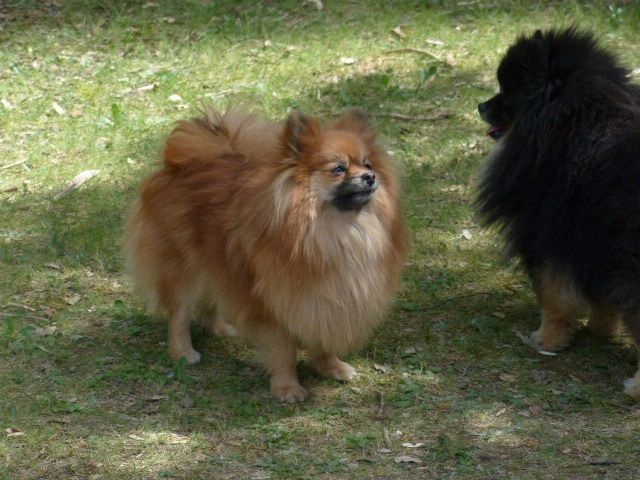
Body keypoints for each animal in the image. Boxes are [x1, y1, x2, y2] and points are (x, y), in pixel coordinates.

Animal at [122, 108, 408, 402]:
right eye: (339, 169)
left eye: (368, 164)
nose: (370, 177)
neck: (331, 232)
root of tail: (180, 163)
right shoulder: (276, 303)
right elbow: (283, 350)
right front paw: (287, 387)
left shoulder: (324, 299)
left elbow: (322, 337)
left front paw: (331, 367)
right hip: (182, 266)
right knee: (179, 312)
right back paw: (183, 351)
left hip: (215, 260)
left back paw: (219, 328)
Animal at [478, 28, 640, 400]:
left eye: (506, 92)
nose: (481, 105)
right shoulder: (593, 245)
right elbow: (602, 298)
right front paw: (601, 328)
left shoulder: (547, 236)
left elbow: (554, 296)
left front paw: (546, 339)